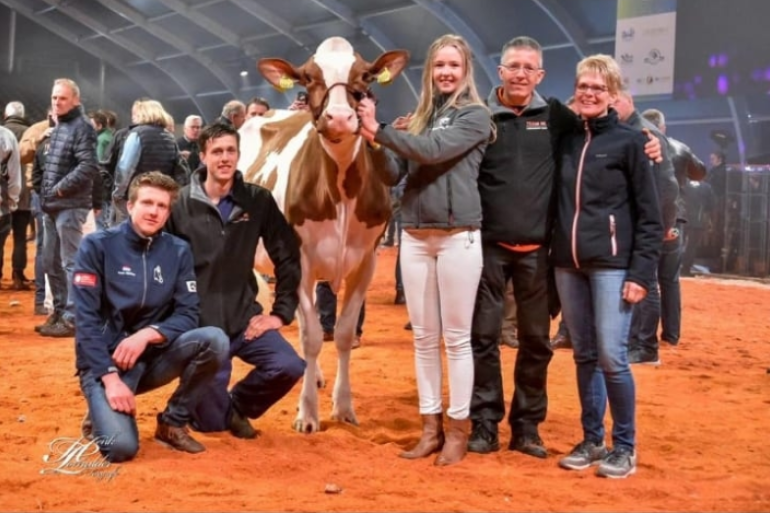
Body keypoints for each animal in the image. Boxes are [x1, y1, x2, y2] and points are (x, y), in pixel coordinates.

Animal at [238, 36, 408, 432]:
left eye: (365, 77)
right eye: (309, 79)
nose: (341, 117)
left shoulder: (367, 261)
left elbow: (342, 333)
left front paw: (343, 407)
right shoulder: (298, 257)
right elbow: (313, 336)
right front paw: (308, 414)